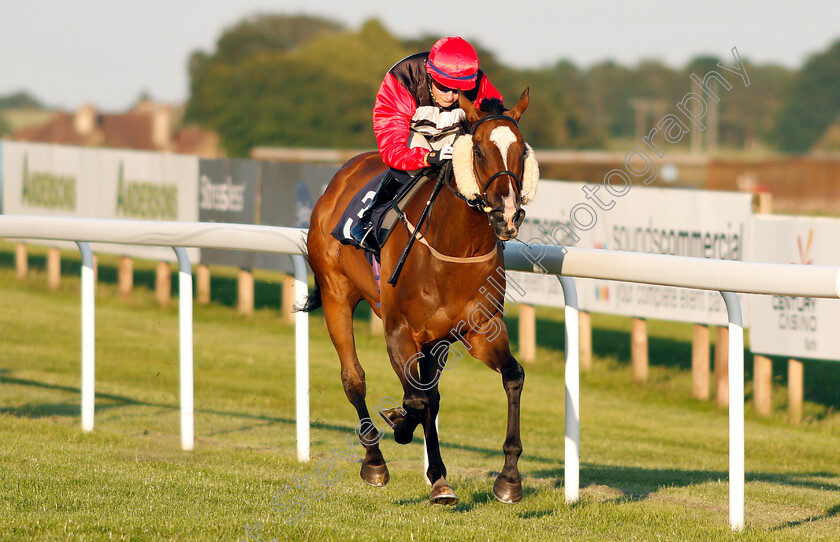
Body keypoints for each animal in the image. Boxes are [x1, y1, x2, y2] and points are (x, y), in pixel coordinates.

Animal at [302, 88, 540, 506]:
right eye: (478, 150)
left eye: (521, 150)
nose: (508, 216)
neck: (453, 247)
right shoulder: (399, 329)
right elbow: (415, 400)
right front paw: (399, 425)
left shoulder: (479, 329)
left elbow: (513, 376)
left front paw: (508, 478)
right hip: (336, 295)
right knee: (354, 378)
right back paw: (375, 462)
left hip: (436, 341)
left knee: (431, 394)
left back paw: (437, 476)